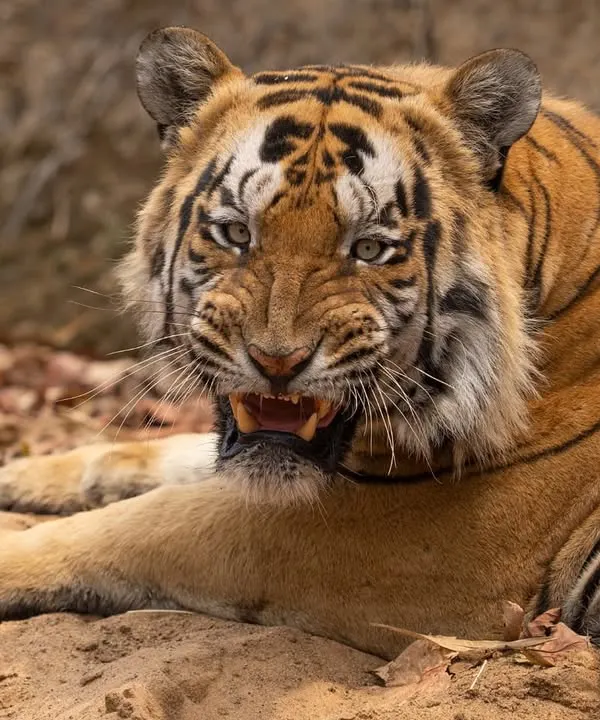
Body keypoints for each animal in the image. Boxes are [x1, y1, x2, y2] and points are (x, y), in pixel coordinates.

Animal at [1, 25, 600, 661]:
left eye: (370, 249)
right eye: (236, 232)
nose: (276, 362)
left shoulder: (416, 538)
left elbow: (142, 526)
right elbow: (171, 456)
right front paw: (26, 474)